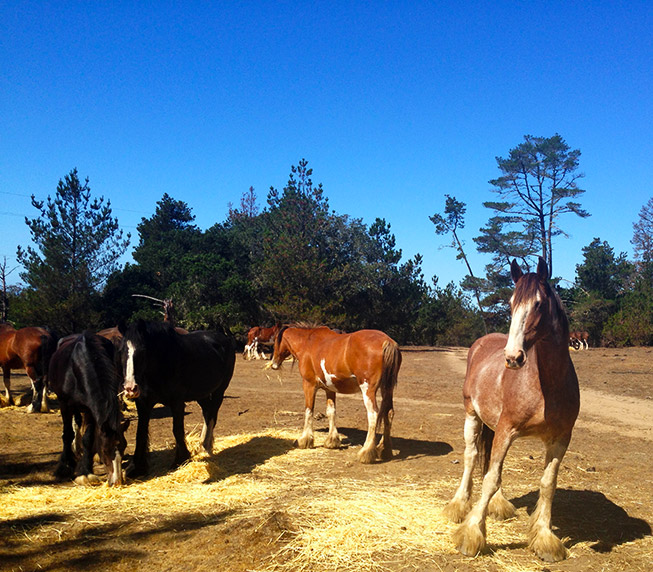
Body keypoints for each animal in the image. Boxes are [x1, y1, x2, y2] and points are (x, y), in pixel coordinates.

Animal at [49, 330, 128, 488]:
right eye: (105, 449)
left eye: (124, 446)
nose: (117, 482)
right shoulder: (64, 404)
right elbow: (67, 434)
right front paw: (65, 466)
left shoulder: (90, 409)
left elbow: (88, 438)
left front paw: (86, 471)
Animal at [118, 320, 236, 476]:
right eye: (121, 351)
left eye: (143, 351)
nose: (130, 388)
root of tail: (225, 338)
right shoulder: (143, 403)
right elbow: (141, 433)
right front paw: (137, 467)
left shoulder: (177, 402)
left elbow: (177, 430)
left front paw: (180, 460)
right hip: (202, 394)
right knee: (207, 413)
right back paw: (204, 445)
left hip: (219, 391)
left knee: (211, 416)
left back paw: (206, 447)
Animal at [268, 324, 400, 462]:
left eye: (275, 340)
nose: (273, 363)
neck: (307, 343)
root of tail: (387, 341)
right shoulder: (330, 389)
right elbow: (331, 412)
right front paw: (332, 441)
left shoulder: (308, 385)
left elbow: (309, 410)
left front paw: (304, 440)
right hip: (387, 389)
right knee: (388, 413)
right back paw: (384, 449)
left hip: (368, 390)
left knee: (373, 415)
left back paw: (366, 452)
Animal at [444, 260, 580, 564]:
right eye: (510, 304)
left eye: (538, 303)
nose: (513, 357)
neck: (547, 385)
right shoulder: (506, 430)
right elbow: (490, 478)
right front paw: (471, 535)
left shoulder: (560, 439)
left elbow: (547, 484)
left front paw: (545, 539)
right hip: (473, 416)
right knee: (472, 457)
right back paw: (458, 505)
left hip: (494, 428)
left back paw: (497, 505)